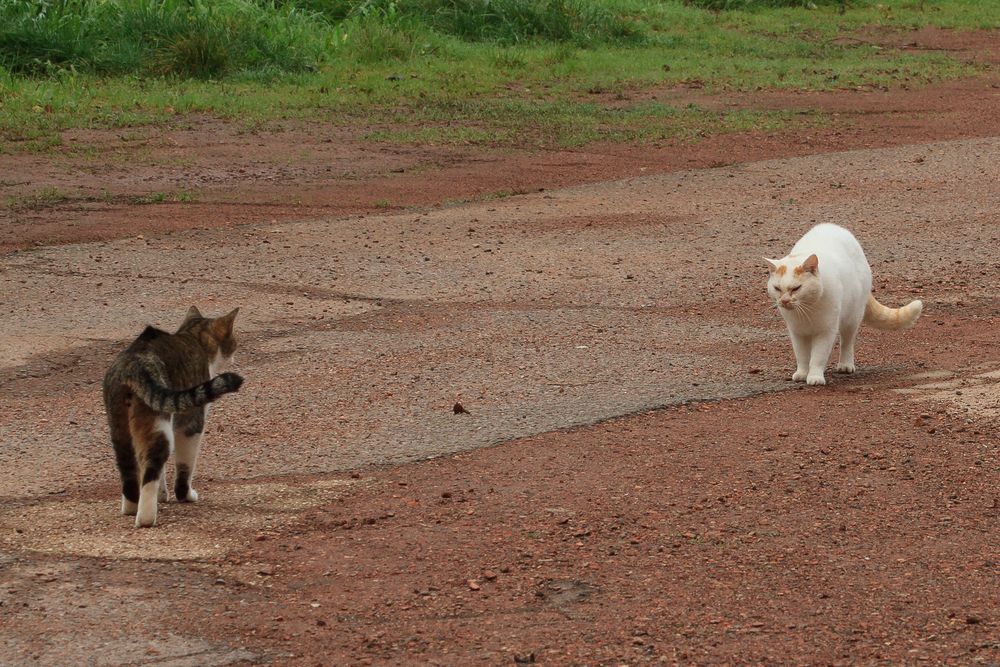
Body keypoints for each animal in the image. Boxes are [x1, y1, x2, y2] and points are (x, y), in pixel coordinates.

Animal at [102, 306, 244, 528]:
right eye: (234, 341)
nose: (235, 353)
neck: (193, 337)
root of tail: (133, 363)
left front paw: (162, 495)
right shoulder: (191, 423)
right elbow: (185, 466)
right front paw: (185, 495)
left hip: (120, 428)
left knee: (130, 469)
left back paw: (131, 507)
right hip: (160, 426)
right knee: (152, 466)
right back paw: (145, 517)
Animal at [764, 223, 920, 386]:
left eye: (796, 288)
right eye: (777, 288)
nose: (784, 301)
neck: (807, 309)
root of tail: (833, 226)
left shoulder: (826, 331)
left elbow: (817, 357)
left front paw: (815, 376)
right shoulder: (797, 333)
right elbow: (802, 356)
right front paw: (802, 373)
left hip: (852, 318)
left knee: (847, 342)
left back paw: (845, 365)